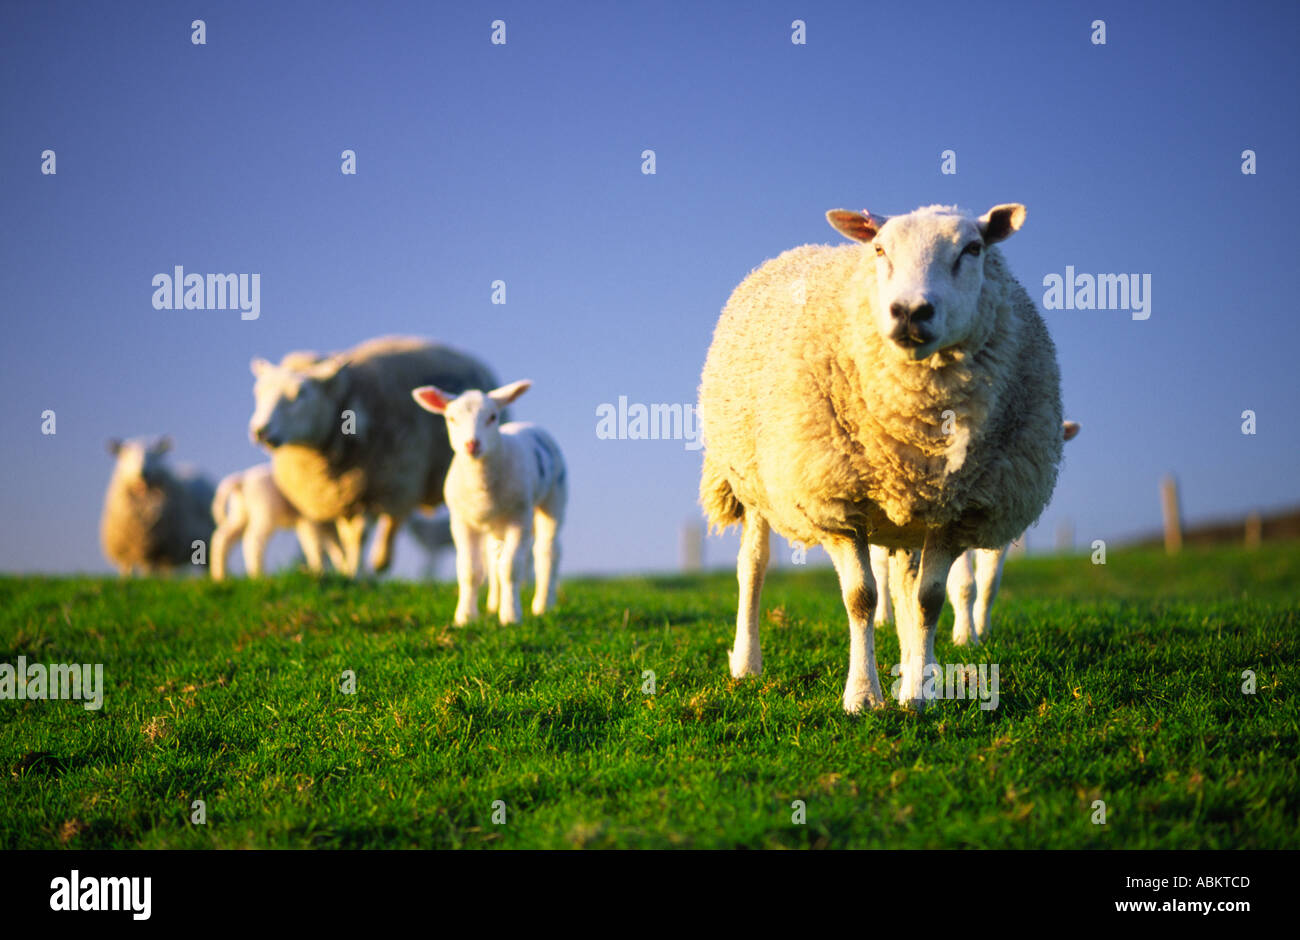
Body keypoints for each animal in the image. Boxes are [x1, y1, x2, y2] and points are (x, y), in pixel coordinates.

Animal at [100, 436, 215, 576]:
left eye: (155, 455)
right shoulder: (125, 549)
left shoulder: (155, 547)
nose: (143, 472)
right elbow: (126, 570)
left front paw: (147, 579)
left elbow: (148, 570)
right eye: (126, 455)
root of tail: (191, 467)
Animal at [209, 463, 346, 579]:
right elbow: (314, 545)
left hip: (240, 514)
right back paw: (258, 575)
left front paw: (343, 573)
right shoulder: (309, 520)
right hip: (265, 512)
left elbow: (335, 548)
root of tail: (243, 480)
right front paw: (317, 572)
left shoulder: (325, 526)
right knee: (253, 539)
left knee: (223, 538)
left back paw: (219, 576)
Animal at [248, 336, 501, 577]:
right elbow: (345, 537)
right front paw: (348, 569)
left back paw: (381, 561)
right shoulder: (339, 496)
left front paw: (359, 573)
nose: (259, 430)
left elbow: (359, 535)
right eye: (258, 393)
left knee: (396, 519)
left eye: (300, 394)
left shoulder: (376, 485)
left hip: (403, 478)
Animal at [411, 380, 567, 625]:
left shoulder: (519, 517)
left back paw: (543, 604)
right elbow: (470, 570)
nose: (471, 444)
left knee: (547, 551)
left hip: (554, 498)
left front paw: (511, 616)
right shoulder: (461, 521)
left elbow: (511, 568)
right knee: (494, 560)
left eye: (493, 417)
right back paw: (494, 604)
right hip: (494, 527)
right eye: (451, 418)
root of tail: (531, 425)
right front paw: (465, 616)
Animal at [871, 420, 1080, 643]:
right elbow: (966, 584)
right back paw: (883, 619)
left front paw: (982, 630)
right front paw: (965, 637)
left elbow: (989, 582)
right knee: (881, 569)